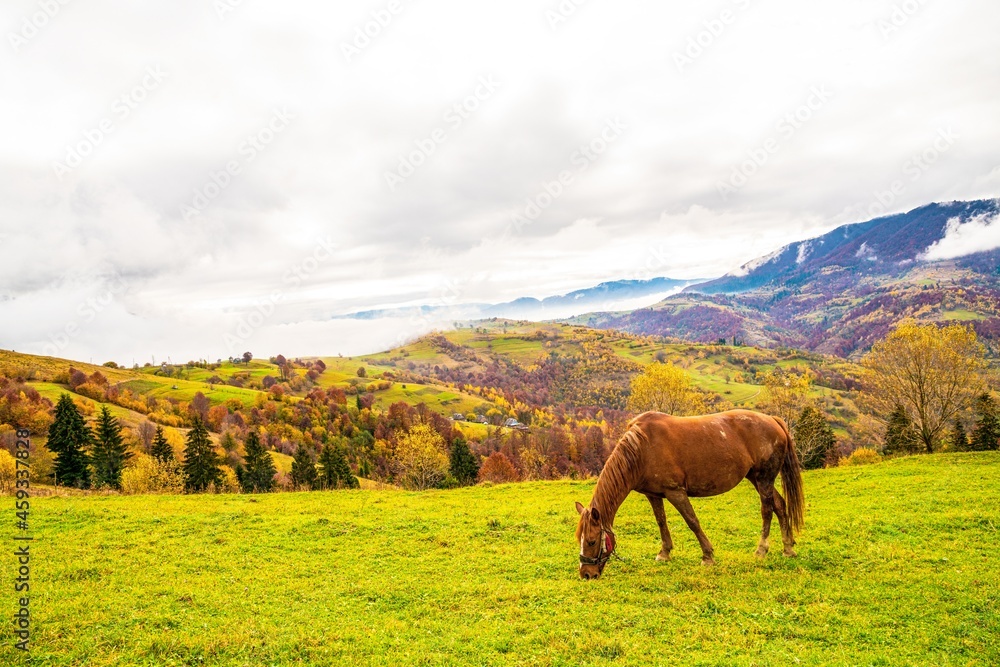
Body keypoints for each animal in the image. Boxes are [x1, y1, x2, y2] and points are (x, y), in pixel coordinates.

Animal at [575, 409, 804, 579]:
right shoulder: (654, 494)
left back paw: (761, 550)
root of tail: (773, 420)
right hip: (757, 479)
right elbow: (661, 522)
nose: (586, 574)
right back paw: (788, 548)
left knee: (767, 510)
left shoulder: (676, 492)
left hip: (764, 478)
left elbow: (692, 521)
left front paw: (707, 556)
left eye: (592, 541)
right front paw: (664, 553)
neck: (642, 448)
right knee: (780, 505)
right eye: (580, 539)